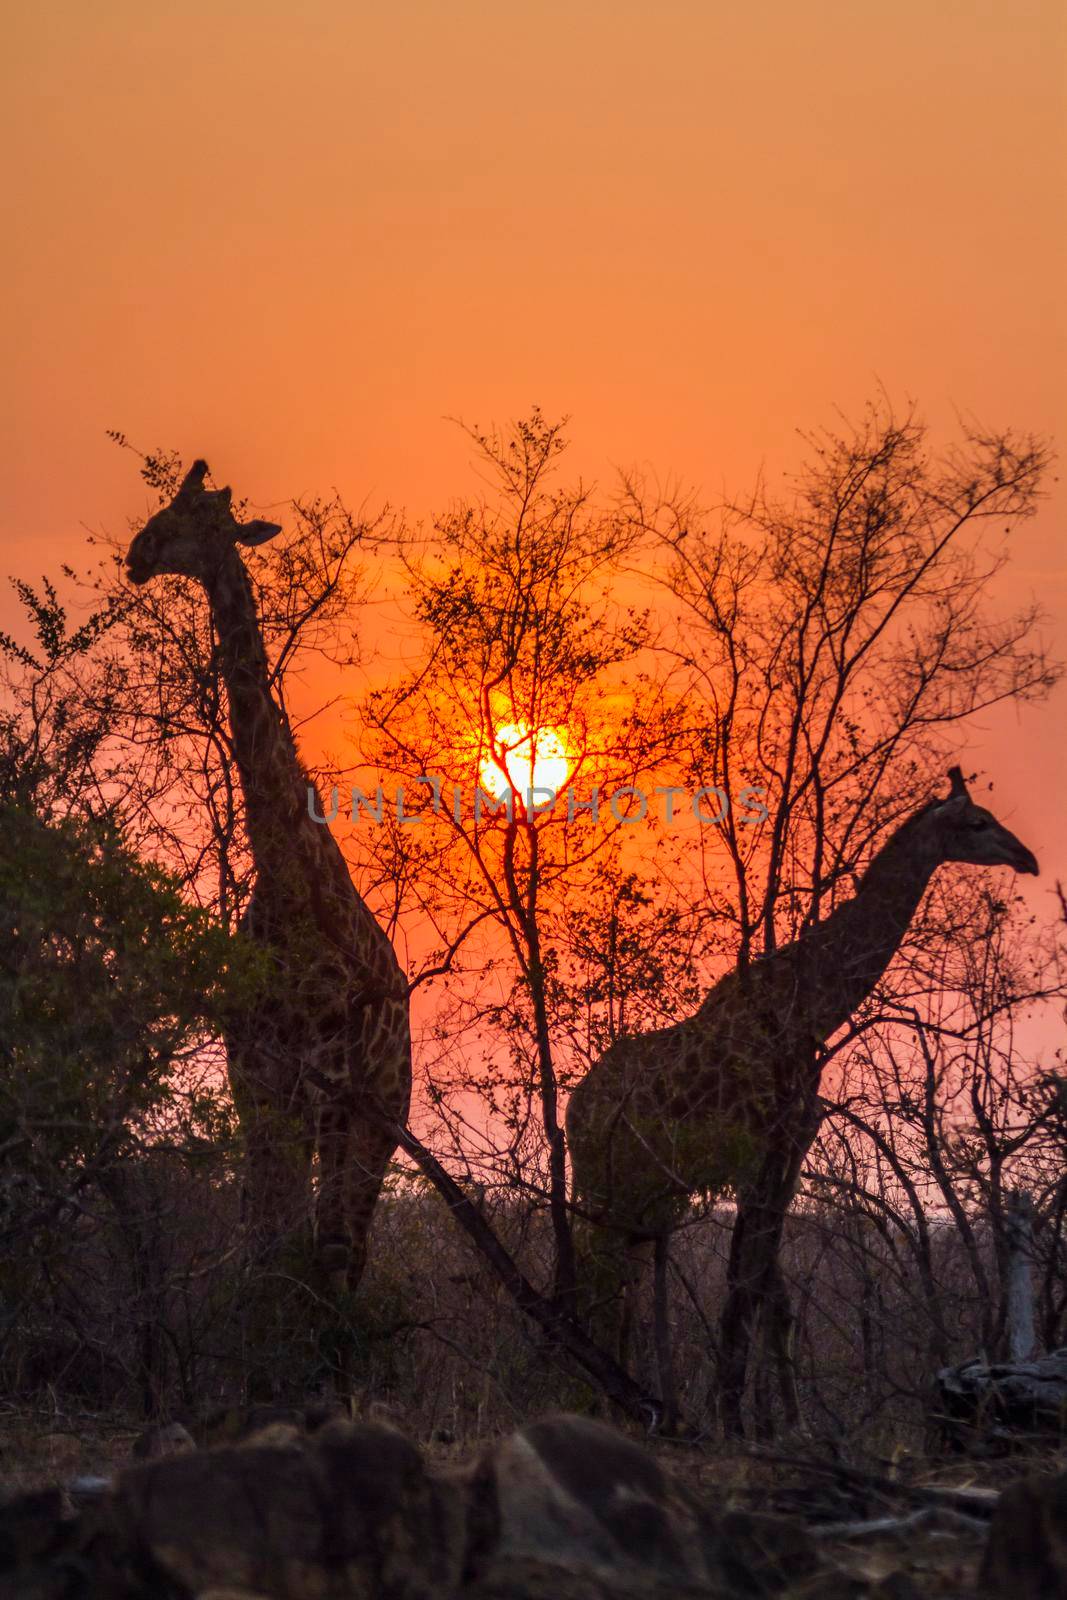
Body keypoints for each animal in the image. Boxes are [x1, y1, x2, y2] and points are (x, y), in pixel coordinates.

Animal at [123, 460, 409, 1286]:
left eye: (198, 519)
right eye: (168, 506)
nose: (138, 552)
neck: (284, 875)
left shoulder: (325, 1079)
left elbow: (307, 1244)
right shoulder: (254, 1073)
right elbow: (262, 1235)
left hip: (383, 1113)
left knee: (344, 1247)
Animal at [572, 768, 1036, 1433]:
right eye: (977, 823)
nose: (1028, 858)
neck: (812, 1013)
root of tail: (571, 1110)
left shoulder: (789, 1152)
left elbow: (770, 1291)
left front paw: (784, 1421)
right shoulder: (757, 1154)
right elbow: (746, 1283)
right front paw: (737, 1416)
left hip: (639, 1194)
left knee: (621, 1280)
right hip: (606, 1184)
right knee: (598, 1277)